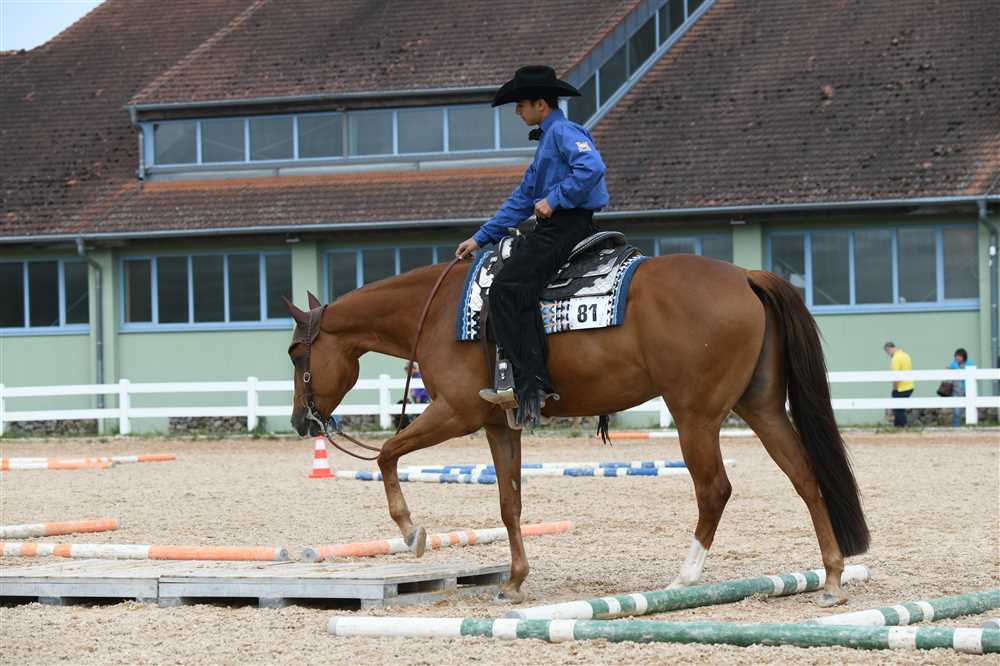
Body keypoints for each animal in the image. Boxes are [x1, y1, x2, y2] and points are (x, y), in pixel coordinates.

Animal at [285, 253, 869, 607]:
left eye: (294, 352)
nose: (300, 420)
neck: (439, 312)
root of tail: (745, 276)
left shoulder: (454, 413)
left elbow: (387, 454)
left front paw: (412, 533)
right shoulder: (499, 426)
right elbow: (510, 504)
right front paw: (514, 582)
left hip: (696, 416)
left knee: (714, 490)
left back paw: (685, 577)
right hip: (762, 408)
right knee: (806, 477)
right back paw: (832, 578)